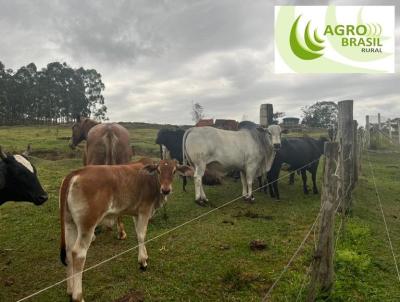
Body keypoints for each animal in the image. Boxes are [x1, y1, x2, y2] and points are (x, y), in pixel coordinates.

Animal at [58, 159, 194, 300]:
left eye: (174, 171)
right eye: (159, 170)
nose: (166, 190)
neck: (152, 181)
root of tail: (75, 173)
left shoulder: (136, 213)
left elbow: (139, 233)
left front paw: (145, 256)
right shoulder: (144, 210)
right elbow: (142, 235)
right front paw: (142, 262)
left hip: (70, 223)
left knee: (68, 251)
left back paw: (70, 290)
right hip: (87, 224)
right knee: (78, 254)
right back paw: (78, 296)